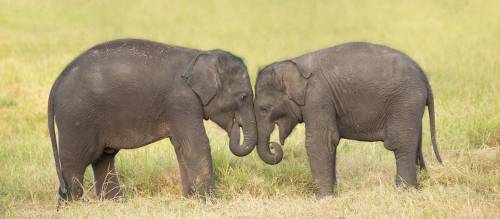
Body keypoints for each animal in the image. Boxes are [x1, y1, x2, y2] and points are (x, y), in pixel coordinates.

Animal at [48, 39, 256, 202]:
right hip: (76, 118)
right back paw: (73, 205)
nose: (236, 125)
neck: (201, 55)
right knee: (75, 164)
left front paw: (190, 200)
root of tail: (57, 82)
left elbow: (181, 146)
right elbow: (196, 144)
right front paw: (210, 202)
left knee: (104, 159)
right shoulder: (181, 101)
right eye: (244, 97)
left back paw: (114, 204)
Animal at [256, 42, 444, 198]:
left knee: (400, 144)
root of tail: (424, 77)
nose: (273, 145)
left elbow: (320, 140)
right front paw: (332, 194)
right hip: (411, 108)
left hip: (405, 102)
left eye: (264, 108)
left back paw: (403, 192)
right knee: (415, 143)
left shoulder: (318, 97)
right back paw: (420, 185)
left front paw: (323, 199)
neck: (294, 63)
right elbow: (330, 142)